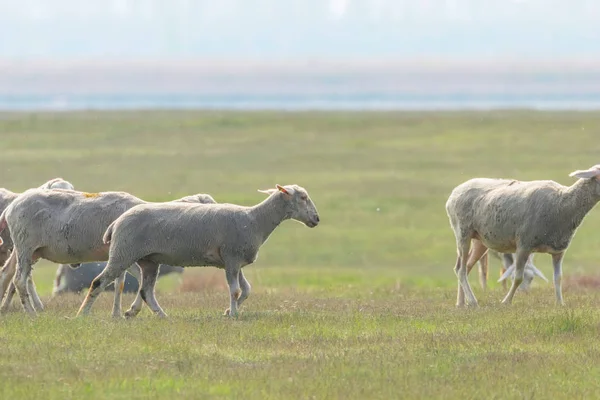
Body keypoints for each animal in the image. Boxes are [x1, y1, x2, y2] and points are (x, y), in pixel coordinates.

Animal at [77, 184, 322, 318]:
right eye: (303, 197)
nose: (317, 219)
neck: (254, 220)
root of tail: (116, 222)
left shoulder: (236, 261)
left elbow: (247, 290)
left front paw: (229, 311)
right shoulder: (232, 258)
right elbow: (235, 290)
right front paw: (233, 314)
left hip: (148, 261)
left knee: (146, 291)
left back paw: (161, 316)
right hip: (123, 253)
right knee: (99, 282)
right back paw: (82, 315)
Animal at [446, 164, 600, 308]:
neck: (562, 204)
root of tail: (454, 192)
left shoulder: (559, 251)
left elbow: (558, 278)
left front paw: (560, 303)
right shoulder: (524, 245)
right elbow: (518, 277)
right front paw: (506, 301)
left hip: (480, 240)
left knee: (466, 267)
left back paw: (461, 303)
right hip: (462, 232)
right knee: (461, 270)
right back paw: (472, 302)